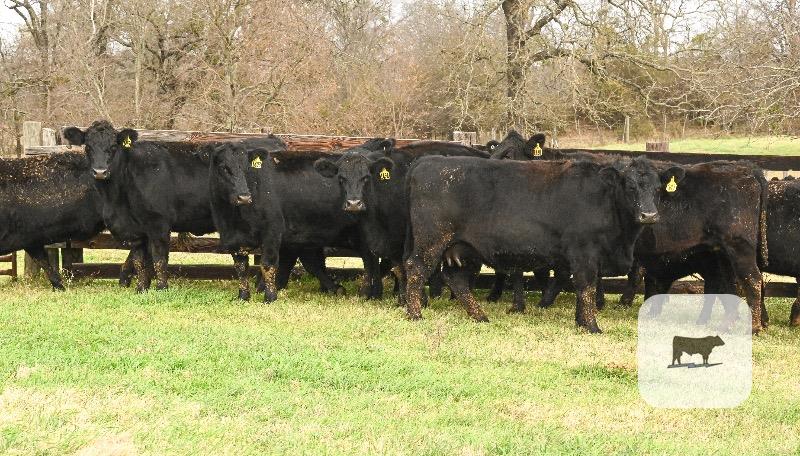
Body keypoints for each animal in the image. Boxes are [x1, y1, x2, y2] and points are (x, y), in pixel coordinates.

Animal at [206, 141, 383, 302]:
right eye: (224, 168)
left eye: (246, 168)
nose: (244, 197)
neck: (233, 218)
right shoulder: (233, 239)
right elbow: (241, 267)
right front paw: (243, 296)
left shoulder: (272, 232)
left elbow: (268, 264)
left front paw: (270, 297)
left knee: (370, 260)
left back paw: (368, 293)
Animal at [311, 138, 490, 301]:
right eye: (341, 178)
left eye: (366, 177)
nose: (354, 203)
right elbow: (375, 264)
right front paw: (374, 294)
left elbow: (402, 265)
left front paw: (409, 298)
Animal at [404, 155, 685, 332]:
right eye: (629, 186)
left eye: (658, 187)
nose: (649, 215)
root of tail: (425, 161)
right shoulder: (584, 254)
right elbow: (586, 287)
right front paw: (591, 326)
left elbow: (583, 289)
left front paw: (581, 322)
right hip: (431, 241)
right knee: (415, 270)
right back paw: (415, 315)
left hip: (463, 249)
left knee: (456, 279)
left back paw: (480, 316)